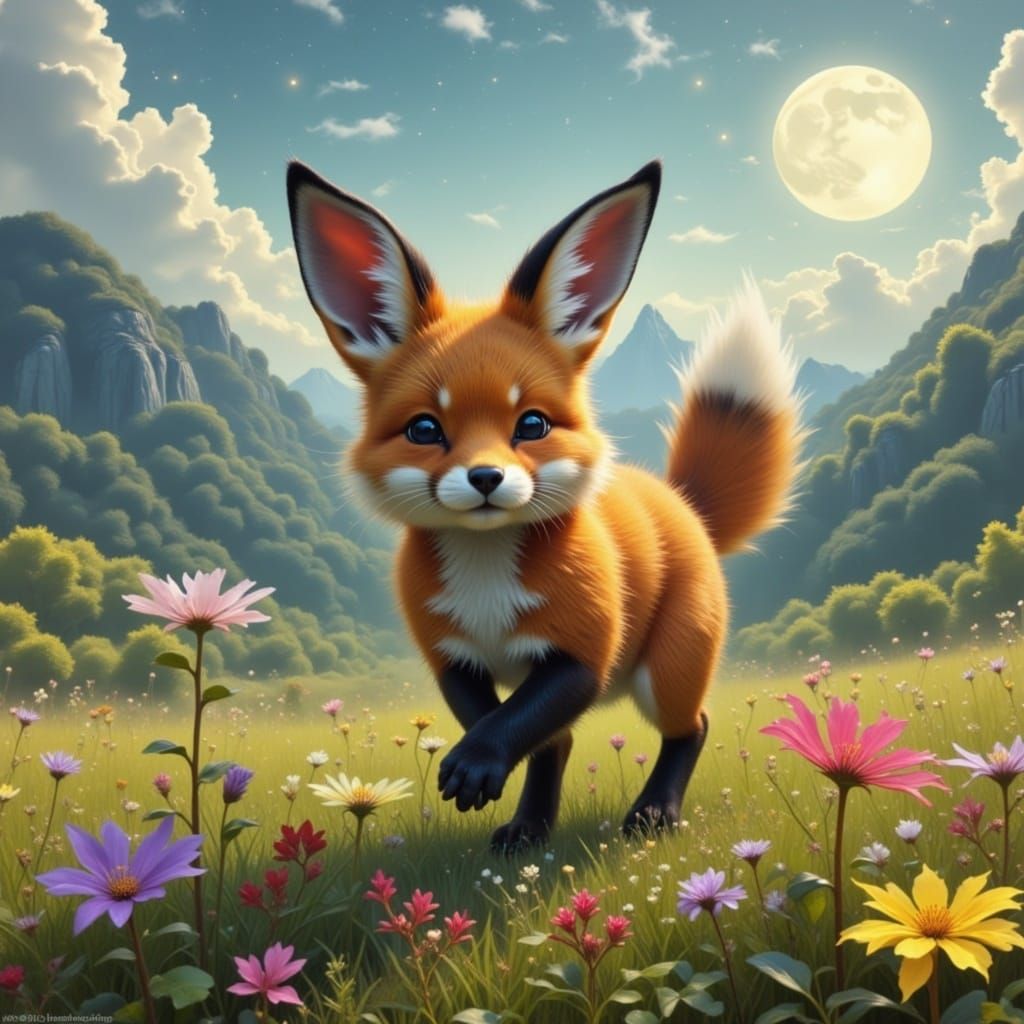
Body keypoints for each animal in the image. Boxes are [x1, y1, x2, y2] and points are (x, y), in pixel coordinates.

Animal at [286, 159, 803, 851]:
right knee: (560, 744)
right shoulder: (452, 658)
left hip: (670, 666)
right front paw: (495, 788)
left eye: (531, 424)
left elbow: (518, 720)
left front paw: (475, 765)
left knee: (691, 726)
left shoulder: (584, 650)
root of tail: (684, 503)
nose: (485, 477)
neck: (486, 583)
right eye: (425, 429)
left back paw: (654, 813)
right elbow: (520, 727)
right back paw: (530, 830)